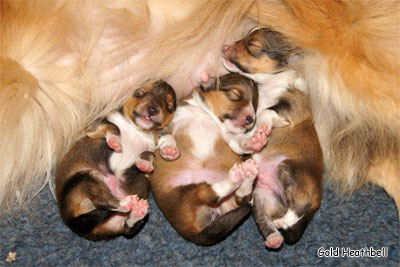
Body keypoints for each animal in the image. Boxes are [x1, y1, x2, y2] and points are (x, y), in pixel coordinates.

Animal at [54, 81, 178, 241]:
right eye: (141, 93)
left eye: (169, 105)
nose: (152, 110)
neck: (136, 128)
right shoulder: (94, 127)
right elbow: (113, 126)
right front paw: (115, 141)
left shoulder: (156, 136)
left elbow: (154, 149)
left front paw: (166, 151)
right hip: (85, 177)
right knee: (104, 200)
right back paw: (125, 203)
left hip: (116, 220)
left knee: (127, 227)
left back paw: (137, 211)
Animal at [150, 74, 272, 247]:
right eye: (235, 95)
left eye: (255, 105)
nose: (251, 119)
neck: (205, 114)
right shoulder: (167, 124)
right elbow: (164, 134)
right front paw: (169, 149)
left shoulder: (230, 138)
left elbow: (240, 142)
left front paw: (255, 142)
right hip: (182, 194)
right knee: (209, 193)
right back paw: (237, 177)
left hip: (221, 200)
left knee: (241, 199)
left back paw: (246, 174)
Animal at [223, 28, 324, 250]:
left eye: (252, 45)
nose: (224, 46)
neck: (271, 84)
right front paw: (251, 137)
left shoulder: (292, 106)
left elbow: (266, 112)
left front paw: (261, 130)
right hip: (261, 199)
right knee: (263, 219)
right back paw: (274, 237)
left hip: (290, 170)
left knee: (300, 205)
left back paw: (284, 221)